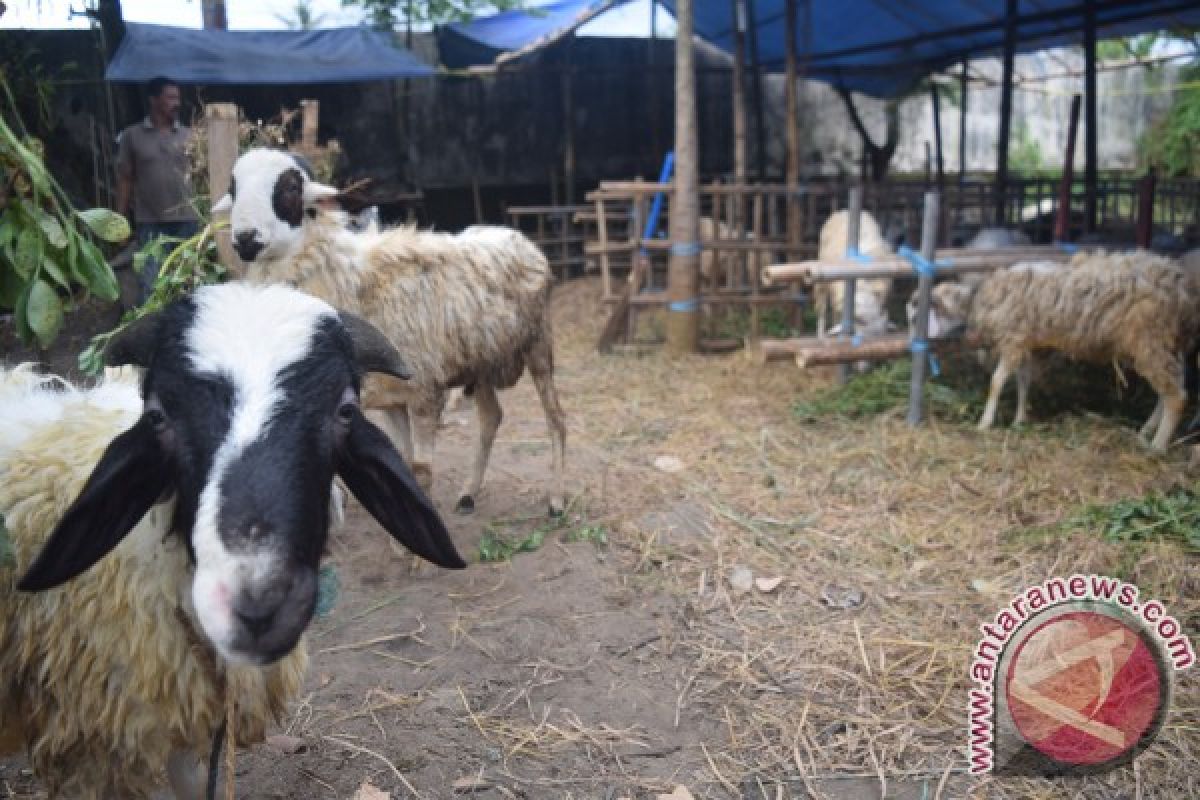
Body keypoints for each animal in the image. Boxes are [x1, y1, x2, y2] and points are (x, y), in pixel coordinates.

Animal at [213, 146, 568, 515]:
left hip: (539, 346)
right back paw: (469, 493)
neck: (348, 282)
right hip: (479, 361)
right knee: (491, 417)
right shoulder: (390, 399)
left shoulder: (425, 392)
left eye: (290, 188)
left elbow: (421, 471)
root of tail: (520, 238)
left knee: (555, 419)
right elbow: (404, 468)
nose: (245, 239)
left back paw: (556, 498)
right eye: (234, 189)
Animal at [921, 250, 1195, 450]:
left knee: (1177, 396)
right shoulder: (1025, 343)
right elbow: (1023, 382)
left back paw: (1157, 446)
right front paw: (1019, 420)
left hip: (1151, 339)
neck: (980, 299)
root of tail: (1181, 287)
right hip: (1167, 343)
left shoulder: (1013, 340)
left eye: (918, 310)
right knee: (1170, 389)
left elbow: (996, 382)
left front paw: (985, 422)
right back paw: (1147, 431)